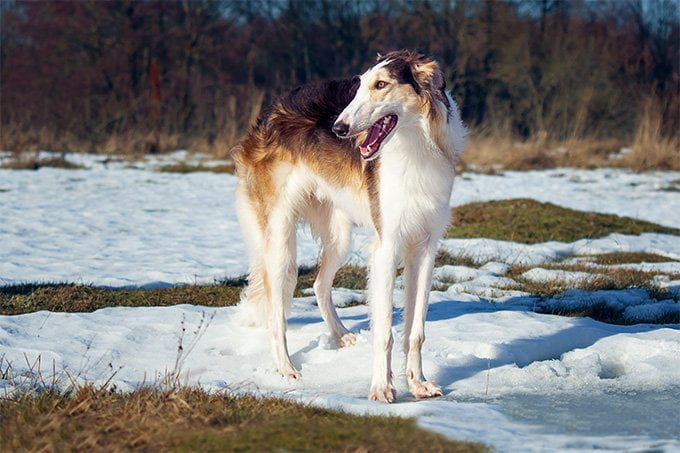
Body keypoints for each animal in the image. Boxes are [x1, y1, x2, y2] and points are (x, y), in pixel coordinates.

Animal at [234, 50, 468, 402]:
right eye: (359, 86)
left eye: (381, 84)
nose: (339, 128)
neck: (415, 147)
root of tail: (268, 116)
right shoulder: (386, 245)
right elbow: (385, 332)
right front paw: (382, 387)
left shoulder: (425, 246)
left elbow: (415, 331)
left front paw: (418, 383)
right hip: (279, 242)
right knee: (278, 314)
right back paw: (286, 369)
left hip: (339, 236)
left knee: (319, 284)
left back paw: (340, 334)